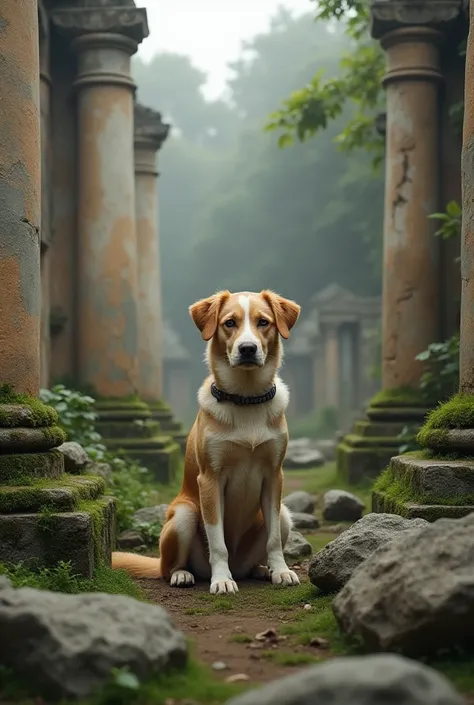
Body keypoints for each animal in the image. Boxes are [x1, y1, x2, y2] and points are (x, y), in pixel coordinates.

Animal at [112, 288, 300, 592]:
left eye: (263, 322)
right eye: (229, 323)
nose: (248, 348)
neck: (245, 398)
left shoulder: (275, 476)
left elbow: (273, 540)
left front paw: (281, 572)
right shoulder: (210, 479)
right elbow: (217, 541)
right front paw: (222, 580)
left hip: (284, 514)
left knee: (262, 548)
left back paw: (261, 570)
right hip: (184, 515)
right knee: (171, 567)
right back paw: (183, 575)